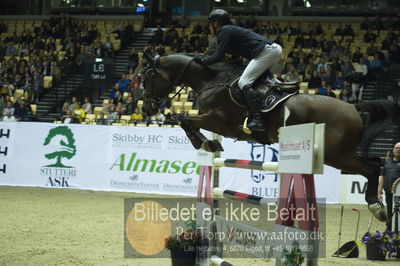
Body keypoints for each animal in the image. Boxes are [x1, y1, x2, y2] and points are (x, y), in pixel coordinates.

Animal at [142, 53, 398, 221]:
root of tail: (354, 107)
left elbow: (186, 120)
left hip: (336, 155)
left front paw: (205, 142)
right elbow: (187, 123)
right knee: (376, 162)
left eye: (149, 77)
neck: (210, 81)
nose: (146, 109)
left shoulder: (219, 121)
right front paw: (209, 143)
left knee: (371, 167)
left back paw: (376, 207)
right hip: (343, 153)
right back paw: (380, 205)